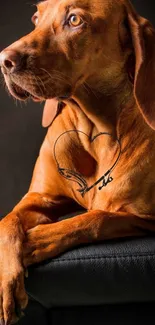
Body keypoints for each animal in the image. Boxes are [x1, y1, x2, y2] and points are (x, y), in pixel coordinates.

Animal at [0, 0, 155, 322]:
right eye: (36, 17)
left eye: (74, 20)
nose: (4, 60)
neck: (94, 129)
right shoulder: (39, 198)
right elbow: (7, 222)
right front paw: (7, 280)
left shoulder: (144, 218)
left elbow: (95, 218)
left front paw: (35, 241)